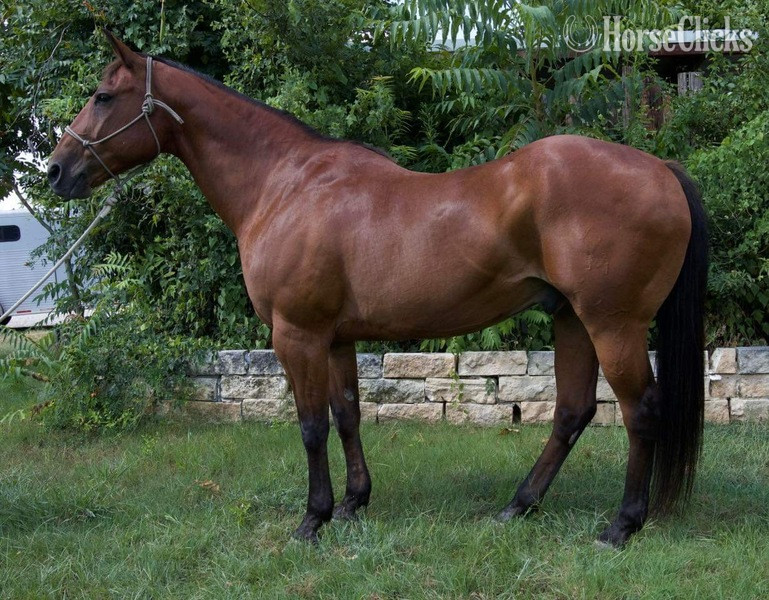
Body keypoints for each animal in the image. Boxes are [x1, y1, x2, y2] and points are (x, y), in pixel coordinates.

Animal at [48, 31, 707, 547]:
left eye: (103, 96)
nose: (55, 171)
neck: (285, 184)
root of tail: (660, 169)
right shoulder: (336, 338)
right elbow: (347, 415)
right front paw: (351, 504)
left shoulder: (296, 335)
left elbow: (311, 426)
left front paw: (312, 520)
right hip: (571, 318)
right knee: (572, 412)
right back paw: (517, 507)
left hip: (612, 323)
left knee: (640, 411)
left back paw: (621, 525)